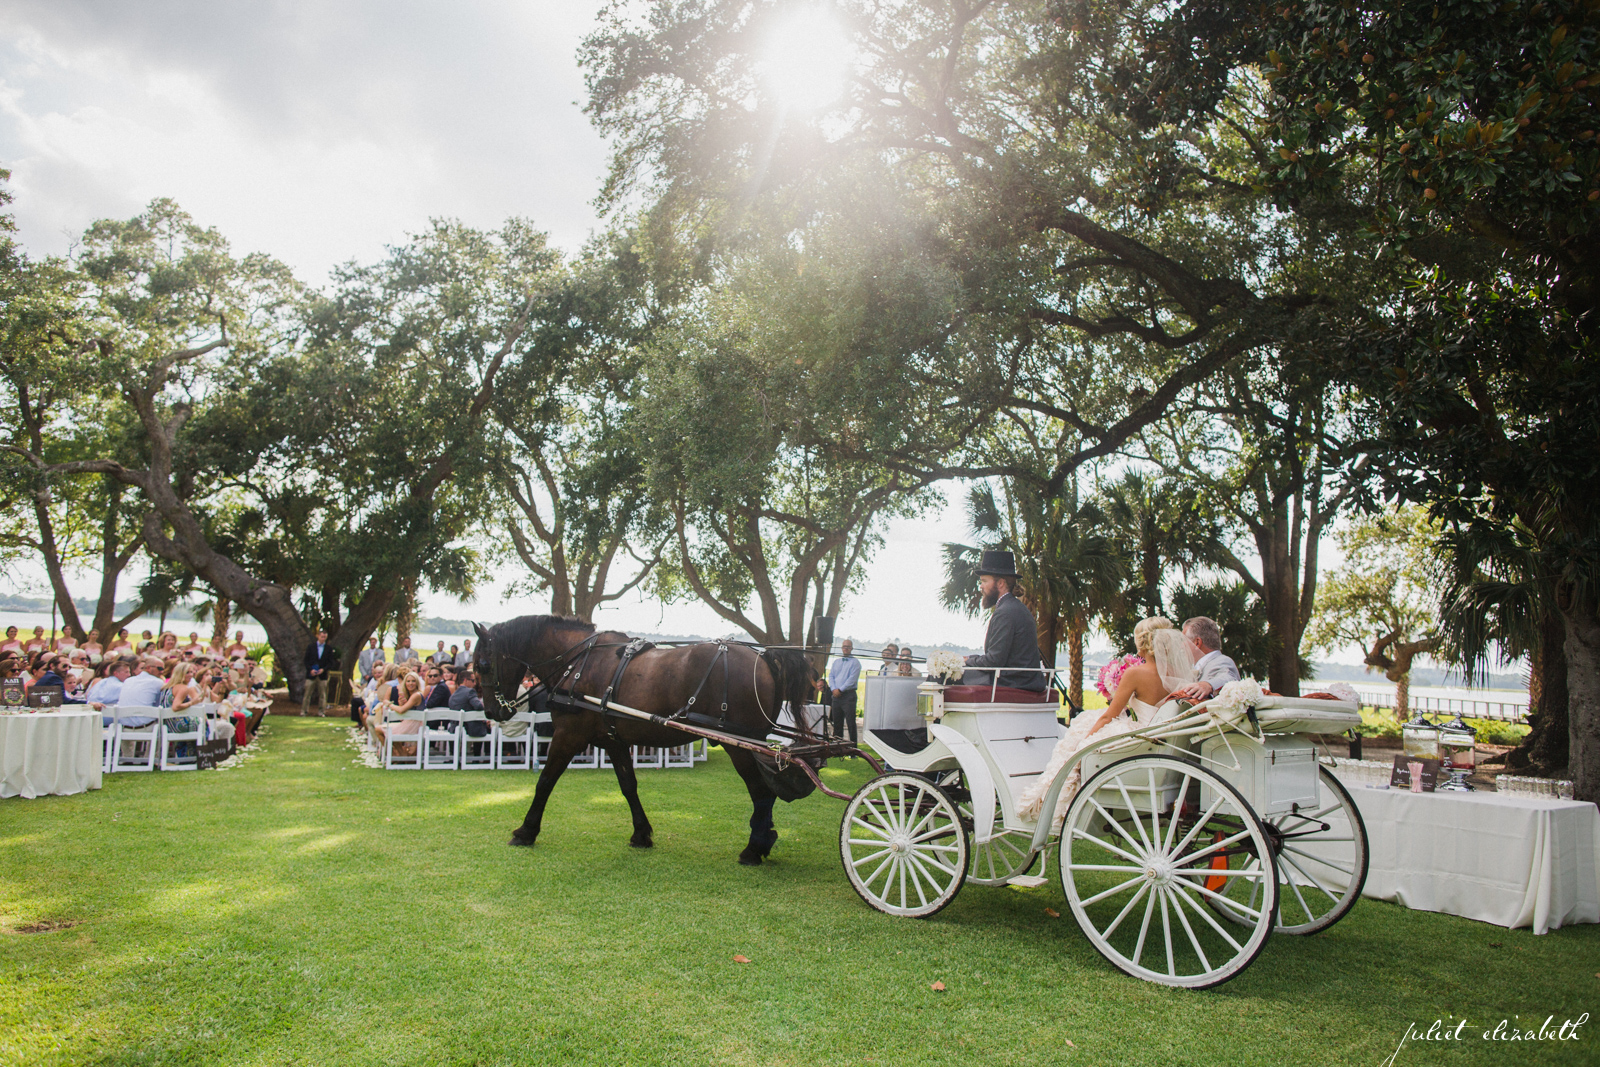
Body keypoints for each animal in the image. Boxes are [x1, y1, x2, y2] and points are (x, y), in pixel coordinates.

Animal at [467, 617, 812, 870]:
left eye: (482, 664)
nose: (491, 711)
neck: (578, 664)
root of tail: (764, 656)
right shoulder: (613, 740)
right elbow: (628, 786)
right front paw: (641, 833)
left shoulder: (567, 735)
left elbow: (545, 782)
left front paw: (526, 831)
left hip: (740, 745)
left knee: (762, 792)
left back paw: (754, 848)